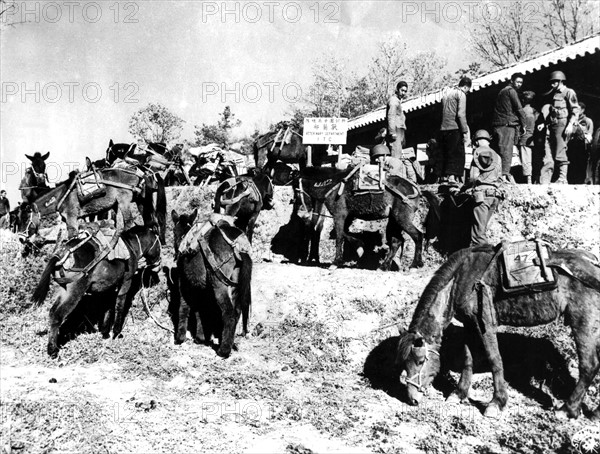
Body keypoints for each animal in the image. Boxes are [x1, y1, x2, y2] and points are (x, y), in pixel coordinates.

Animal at [30, 224, 162, 358]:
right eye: (158, 243)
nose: (159, 263)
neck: (131, 246)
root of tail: (61, 255)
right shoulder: (126, 281)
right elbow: (119, 306)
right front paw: (116, 333)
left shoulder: (109, 287)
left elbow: (108, 307)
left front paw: (105, 332)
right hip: (75, 291)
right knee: (57, 315)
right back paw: (52, 350)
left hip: (63, 290)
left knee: (52, 312)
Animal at [171, 210, 253, 358]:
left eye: (174, 231)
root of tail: (238, 246)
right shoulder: (202, 288)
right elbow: (201, 311)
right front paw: (201, 337)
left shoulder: (184, 284)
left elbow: (184, 307)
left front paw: (180, 338)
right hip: (235, 285)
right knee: (237, 311)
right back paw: (229, 343)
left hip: (219, 284)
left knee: (229, 314)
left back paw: (223, 351)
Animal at [298, 165, 438, 268]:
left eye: (296, 190)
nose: (301, 213)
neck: (334, 185)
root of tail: (417, 190)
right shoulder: (348, 217)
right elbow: (344, 233)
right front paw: (360, 248)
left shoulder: (339, 215)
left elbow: (339, 236)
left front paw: (336, 262)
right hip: (394, 221)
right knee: (396, 241)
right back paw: (384, 266)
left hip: (402, 219)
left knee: (418, 235)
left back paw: (415, 264)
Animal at [398, 247, 600, 420]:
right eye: (405, 362)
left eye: (420, 361)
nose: (412, 399)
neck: (461, 279)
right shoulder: (470, 325)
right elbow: (467, 359)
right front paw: (459, 393)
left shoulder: (485, 324)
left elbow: (494, 359)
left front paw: (496, 403)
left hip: (583, 324)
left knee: (589, 366)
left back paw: (568, 409)